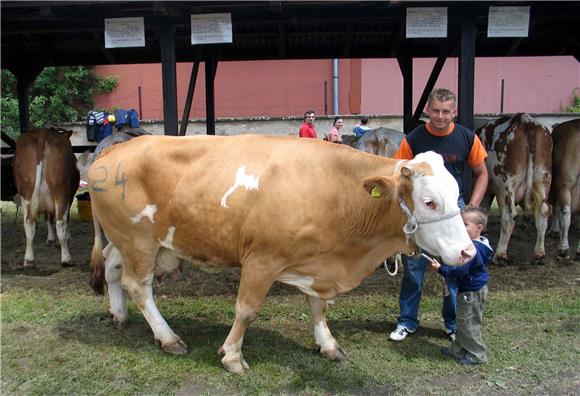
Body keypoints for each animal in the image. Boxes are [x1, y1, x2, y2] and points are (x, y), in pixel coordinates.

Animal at [13, 128, 80, 268]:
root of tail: (42, 132)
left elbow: (47, 217)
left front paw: (50, 238)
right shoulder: (70, 197)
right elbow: (62, 219)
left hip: (26, 194)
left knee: (28, 223)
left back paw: (29, 259)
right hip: (61, 193)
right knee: (60, 222)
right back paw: (66, 258)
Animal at [87, 135, 476, 372]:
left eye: (457, 192)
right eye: (429, 201)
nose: (468, 251)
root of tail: (113, 150)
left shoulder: (317, 264)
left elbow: (319, 308)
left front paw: (327, 344)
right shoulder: (261, 260)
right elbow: (246, 310)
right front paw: (231, 355)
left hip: (134, 241)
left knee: (111, 266)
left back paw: (118, 314)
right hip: (139, 240)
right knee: (139, 285)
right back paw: (167, 337)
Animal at [476, 113, 552, 266]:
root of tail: (527, 121)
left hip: (506, 184)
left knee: (509, 218)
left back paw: (500, 256)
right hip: (542, 178)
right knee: (543, 214)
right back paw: (539, 255)